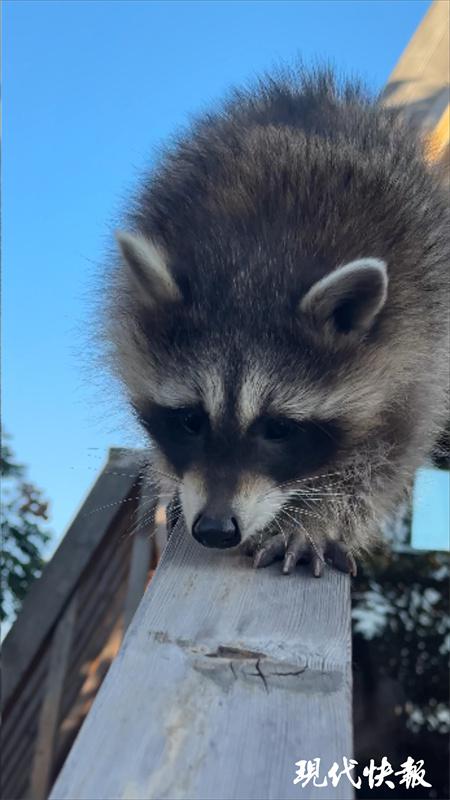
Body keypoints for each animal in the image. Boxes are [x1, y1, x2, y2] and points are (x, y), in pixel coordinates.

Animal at [103, 64, 450, 576]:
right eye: (190, 420)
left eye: (280, 429)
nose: (215, 529)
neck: (256, 264)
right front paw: (171, 476)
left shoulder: (416, 338)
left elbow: (385, 457)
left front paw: (316, 520)